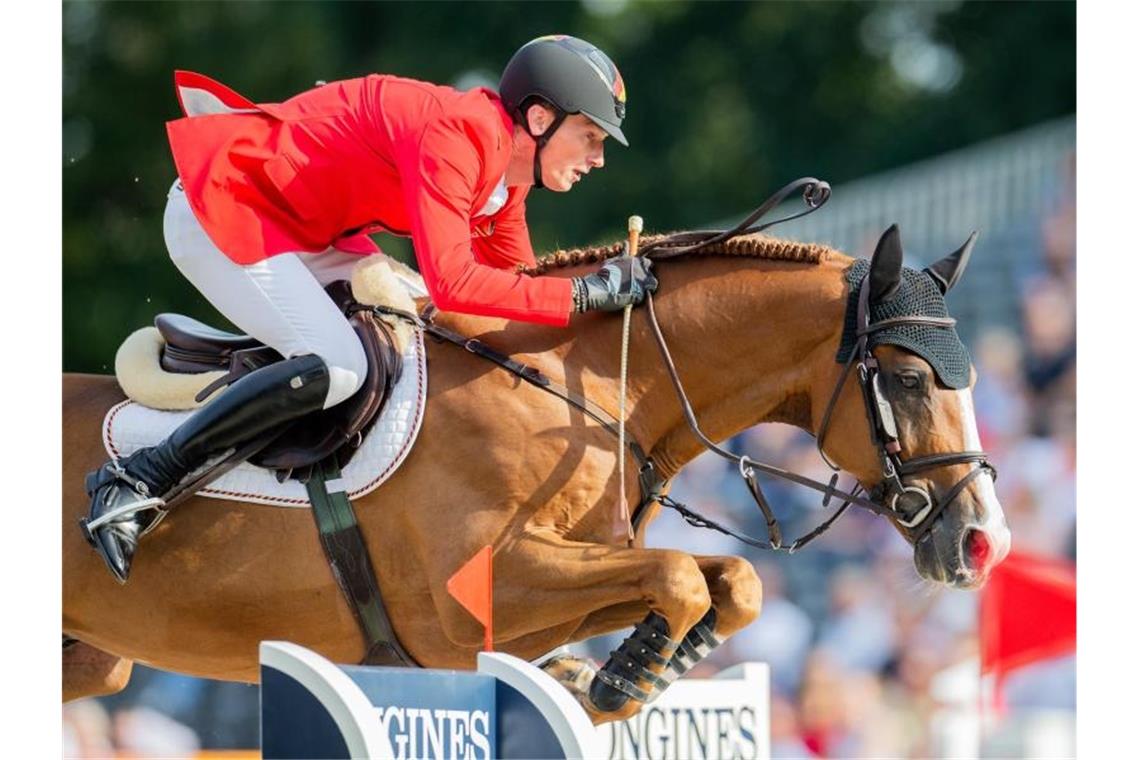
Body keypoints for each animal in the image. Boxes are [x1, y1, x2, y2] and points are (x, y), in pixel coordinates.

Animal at [62, 224, 1012, 720]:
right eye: (910, 378)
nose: (984, 544)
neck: (586, 385)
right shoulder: (469, 597)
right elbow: (681, 574)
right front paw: (623, 679)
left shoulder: (559, 583)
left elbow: (724, 580)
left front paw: (635, 666)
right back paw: (120, 504)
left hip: (93, 663)